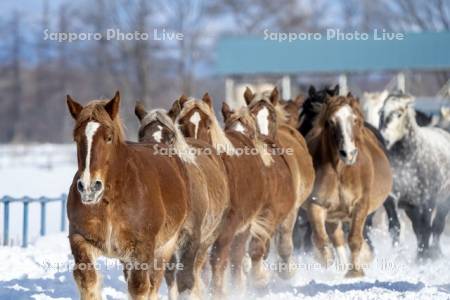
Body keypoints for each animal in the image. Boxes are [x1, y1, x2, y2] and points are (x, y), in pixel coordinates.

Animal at [66, 92, 187, 300]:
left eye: (108, 137)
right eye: (76, 138)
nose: (89, 187)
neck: (110, 201)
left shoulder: (142, 250)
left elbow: (140, 288)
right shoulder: (80, 239)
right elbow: (88, 281)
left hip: (165, 247)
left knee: (153, 284)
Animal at [134, 104, 229, 298]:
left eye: (170, 138)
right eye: (142, 135)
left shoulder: (192, 238)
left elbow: (186, 279)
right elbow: (170, 276)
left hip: (208, 237)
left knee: (198, 268)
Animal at [172, 95, 296, 296]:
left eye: (208, 124)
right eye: (181, 123)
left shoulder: (231, 225)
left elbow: (219, 258)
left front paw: (218, 291)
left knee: (237, 255)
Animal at [304, 94, 392, 276]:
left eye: (355, 120)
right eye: (331, 121)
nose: (348, 153)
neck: (341, 171)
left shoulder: (361, 205)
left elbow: (354, 239)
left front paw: (355, 273)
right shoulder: (316, 205)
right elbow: (321, 239)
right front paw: (329, 265)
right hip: (333, 215)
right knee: (336, 238)